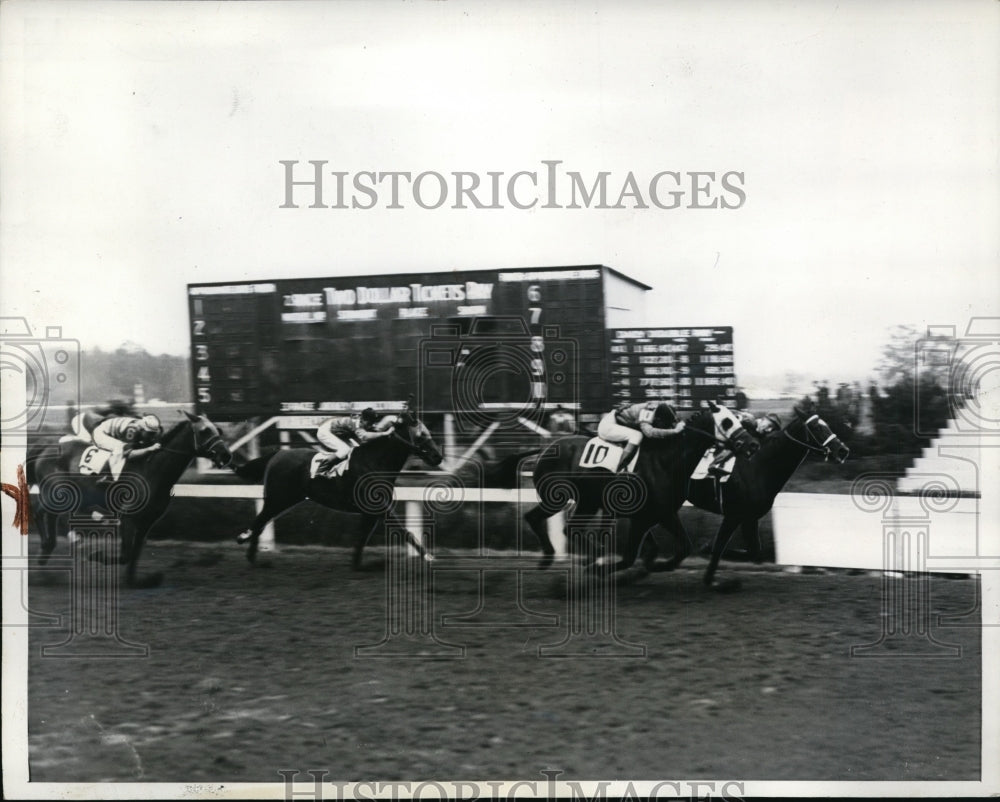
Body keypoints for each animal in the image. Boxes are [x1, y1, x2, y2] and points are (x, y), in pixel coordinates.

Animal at [27, 412, 232, 588]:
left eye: (218, 430)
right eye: (204, 431)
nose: (226, 455)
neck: (152, 470)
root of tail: (45, 445)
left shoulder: (147, 521)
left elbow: (135, 553)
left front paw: (135, 581)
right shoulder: (128, 517)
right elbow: (126, 554)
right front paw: (96, 555)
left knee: (49, 519)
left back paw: (47, 553)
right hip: (56, 494)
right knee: (37, 512)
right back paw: (45, 549)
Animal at [235, 406, 446, 568]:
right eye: (420, 436)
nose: (438, 457)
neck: (375, 462)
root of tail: (277, 454)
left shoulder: (372, 511)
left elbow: (362, 537)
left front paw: (357, 564)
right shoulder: (380, 507)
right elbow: (405, 532)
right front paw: (428, 556)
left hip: (286, 500)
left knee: (262, 522)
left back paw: (250, 550)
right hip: (277, 498)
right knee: (260, 521)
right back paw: (248, 548)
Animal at [524, 400, 756, 576]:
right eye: (727, 422)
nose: (752, 444)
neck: (665, 461)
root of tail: (545, 450)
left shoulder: (664, 513)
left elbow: (683, 547)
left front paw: (657, 565)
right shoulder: (643, 517)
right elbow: (630, 557)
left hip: (585, 501)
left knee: (559, 525)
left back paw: (568, 557)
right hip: (559, 498)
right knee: (541, 520)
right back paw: (576, 557)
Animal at [684, 406, 856, 588]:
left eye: (827, 425)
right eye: (816, 427)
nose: (843, 451)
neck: (757, 466)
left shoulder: (749, 517)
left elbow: (753, 552)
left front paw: (707, 560)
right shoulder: (734, 515)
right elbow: (718, 548)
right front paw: (708, 566)